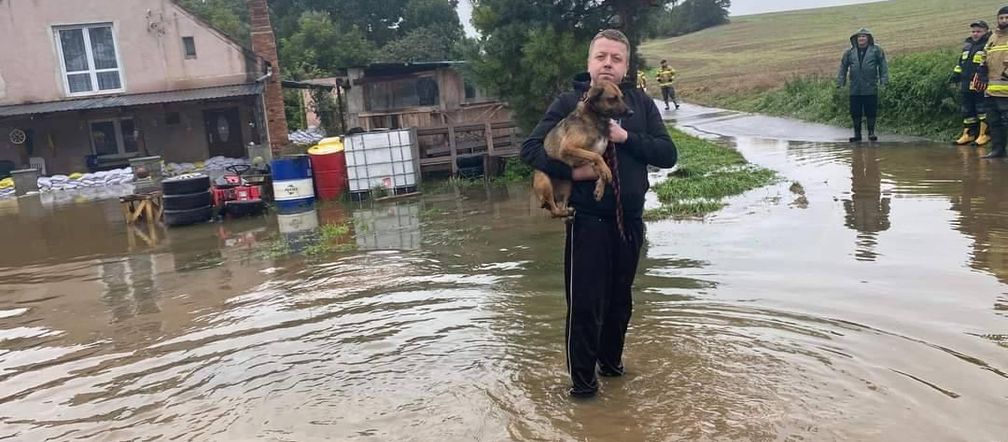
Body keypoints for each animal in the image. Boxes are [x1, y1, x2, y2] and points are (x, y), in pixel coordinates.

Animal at [532, 81, 624, 217]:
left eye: (621, 97)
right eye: (612, 98)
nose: (631, 112)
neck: (596, 118)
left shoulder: (592, 158)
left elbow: (600, 164)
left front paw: (600, 188)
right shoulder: (568, 148)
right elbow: (597, 157)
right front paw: (607, 172)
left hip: (568, 186)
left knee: (561, 206)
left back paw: (568, 211)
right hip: (545, 183)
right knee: (554, 211)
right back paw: (564, 212)